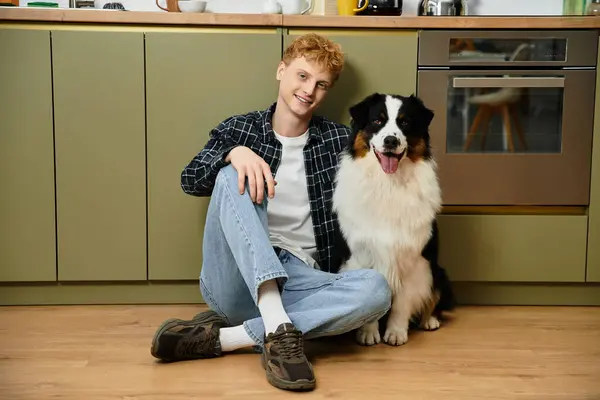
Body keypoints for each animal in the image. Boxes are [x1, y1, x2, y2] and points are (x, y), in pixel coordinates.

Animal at [328, 92, 454, 346]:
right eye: (377, 120)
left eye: (405, 122)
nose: (390, 141)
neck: (388, 183)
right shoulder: (360, 255)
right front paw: (368, 333)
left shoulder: (412, 259)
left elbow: (402, 303)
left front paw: (396, 333)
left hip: (435, 269)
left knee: (433, 297)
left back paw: (429, 320)